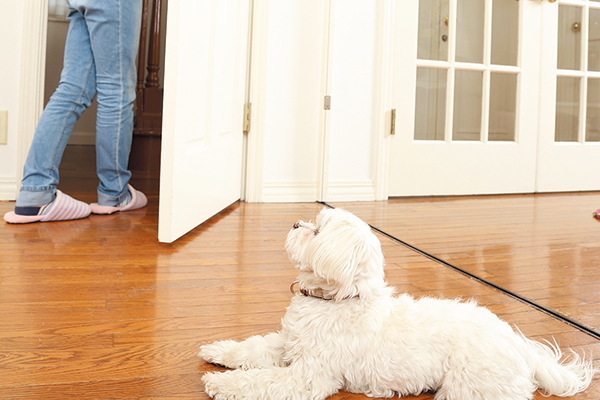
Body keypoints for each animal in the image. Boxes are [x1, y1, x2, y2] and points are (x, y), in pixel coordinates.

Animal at [199, 207, 596, 400]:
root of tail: (522, 348)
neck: (336, 300)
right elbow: (252, 347)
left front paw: (220, 384)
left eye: (317, 230)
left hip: (468, 388)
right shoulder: (287, 343)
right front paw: (217, 351)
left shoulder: (308, 375)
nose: (296, 223)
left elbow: (261, 380)